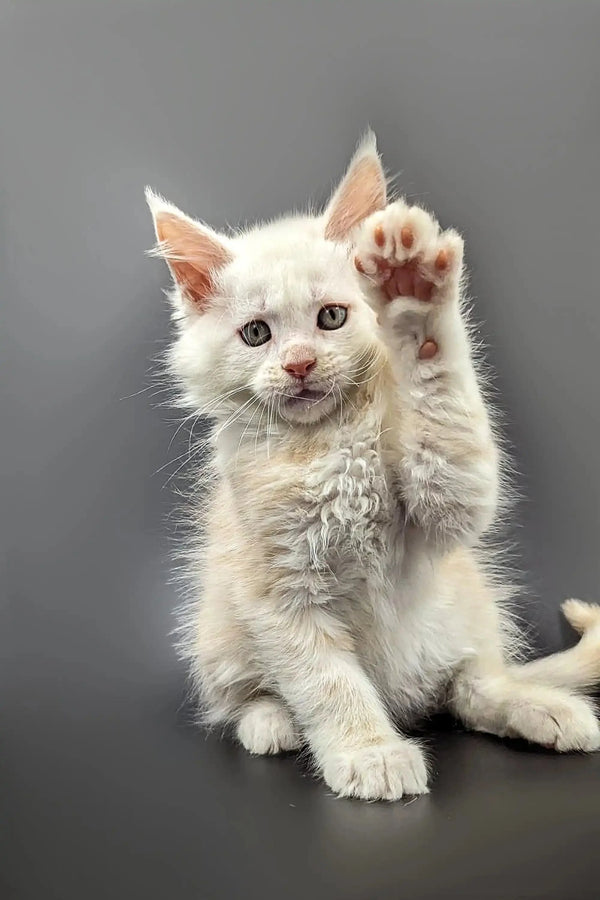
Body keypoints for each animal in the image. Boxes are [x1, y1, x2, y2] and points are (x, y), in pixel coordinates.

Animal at [145, 134, 600, 800]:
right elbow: (328, 683)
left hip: (464, 610)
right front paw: (371, 754)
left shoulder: (446, 503)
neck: (329, 446)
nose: (300, 364)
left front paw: (413, 298)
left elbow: (446, 421)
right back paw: (270, 722)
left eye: (332, 317)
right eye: (256, 334)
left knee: (471, 687)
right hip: (218, 631)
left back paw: (542, 709)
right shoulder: (276, 592)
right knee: (241, 697)